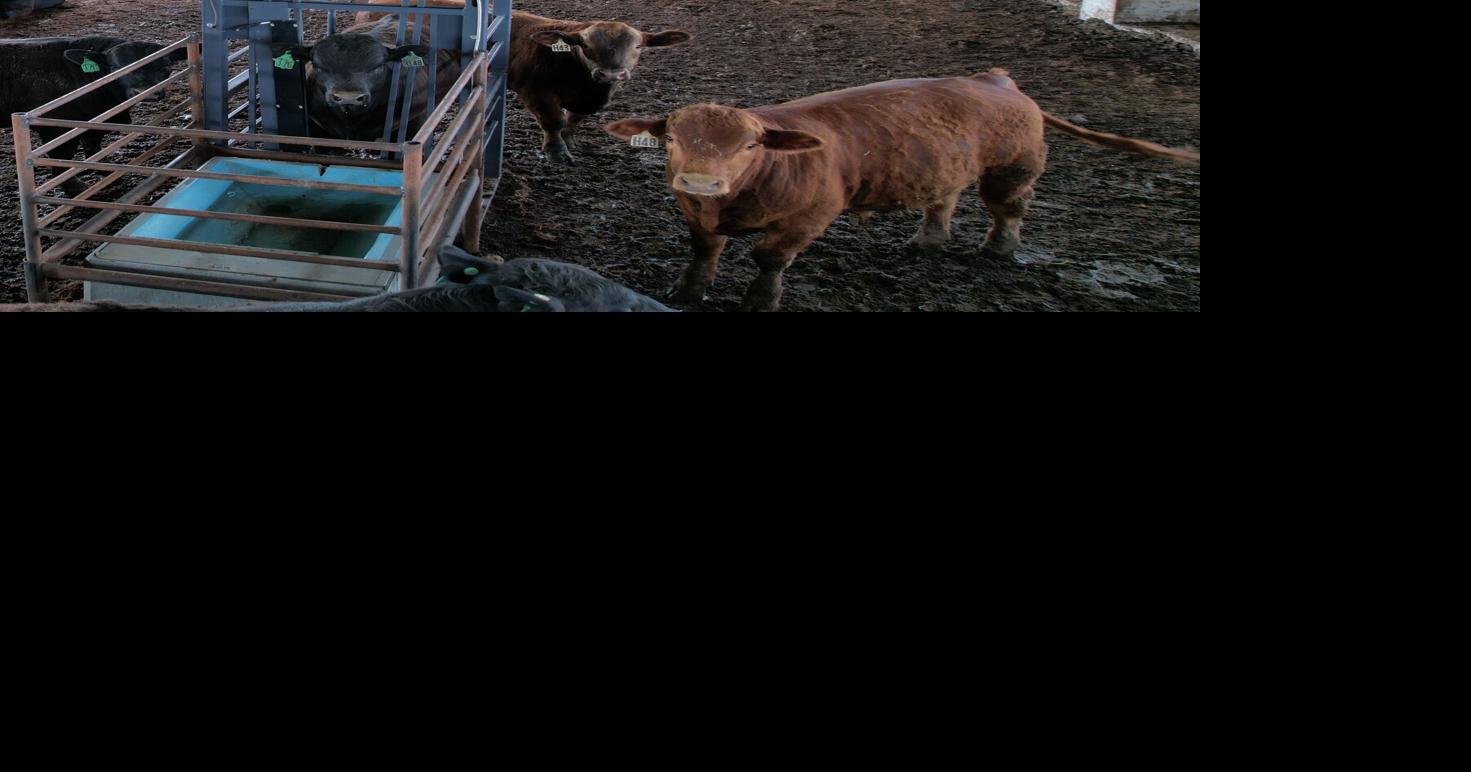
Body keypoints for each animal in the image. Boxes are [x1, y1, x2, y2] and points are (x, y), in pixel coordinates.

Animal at [1, 36, 187, 194]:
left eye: (166, 66)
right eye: (116, 68)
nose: (145, 92)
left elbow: (93, 146)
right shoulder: (55, 128)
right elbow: (62, 158)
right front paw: (75, 187)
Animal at [606, 69, 1199, 311]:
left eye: (751, 145)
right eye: (672, 138)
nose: (699, 179)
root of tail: (998, 80)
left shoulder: (810, 217)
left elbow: (769, 259)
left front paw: (759, 301)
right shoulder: (695, 216)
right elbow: (703, 252)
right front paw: (687, 292)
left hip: (1014, 168)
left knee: (1007, 209)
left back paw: (999, 250)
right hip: (946, 168)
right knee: (943, 199)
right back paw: (928, 241)